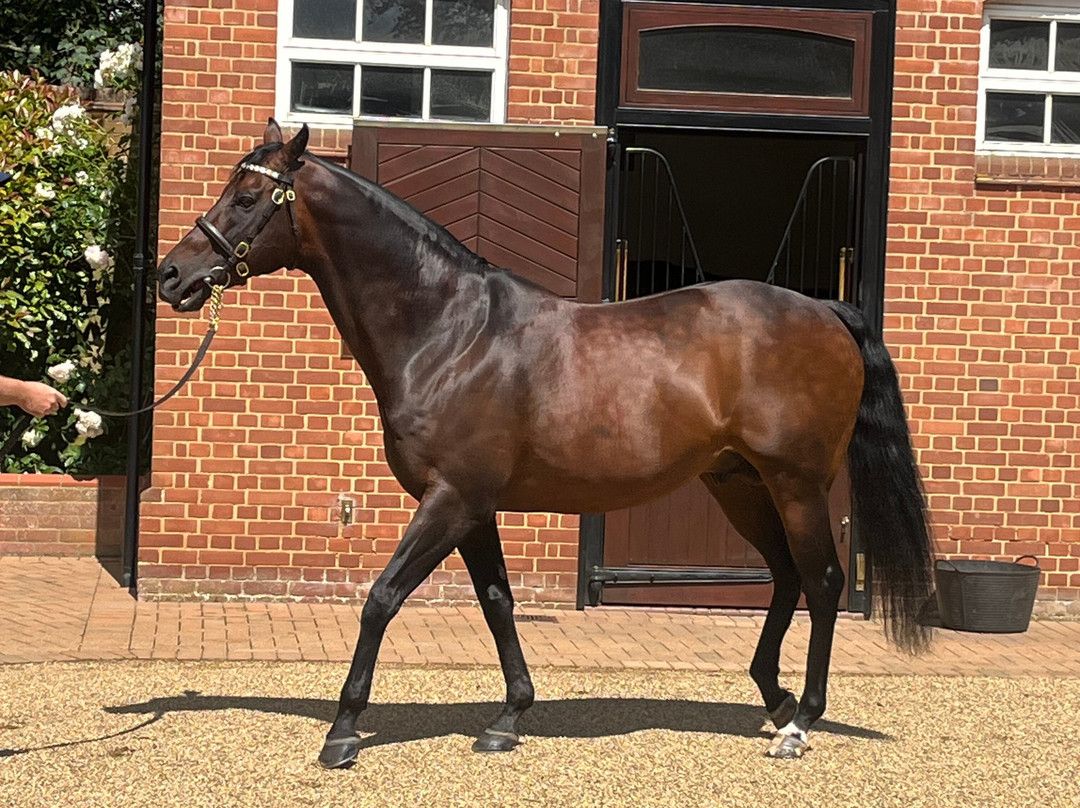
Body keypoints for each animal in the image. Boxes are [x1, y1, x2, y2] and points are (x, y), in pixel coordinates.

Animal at [158, 120, 934, 765]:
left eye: (248, 196)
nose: (172, 275)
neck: (448, 332)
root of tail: (826, 311)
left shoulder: (450, 500)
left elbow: (382, 597)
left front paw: (344, 732)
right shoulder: (474, 507)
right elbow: (498, 602)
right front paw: (508, 719)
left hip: (796, 484)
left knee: (823, 581)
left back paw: (800, 723)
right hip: (738, 484)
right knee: (785, 577)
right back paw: (773, 700)